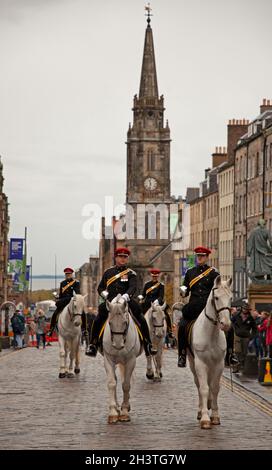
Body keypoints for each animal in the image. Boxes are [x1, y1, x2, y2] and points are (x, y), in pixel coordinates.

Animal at [102, 296, 142, 424]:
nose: (118, 345)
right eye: (109, 322)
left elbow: (126, 385)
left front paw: (124, 411)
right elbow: (111, 383)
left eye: (125, 322)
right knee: (115, 379)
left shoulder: (131, 361)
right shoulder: (108, 360)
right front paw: (113, 412)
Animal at [189, 276, 232, 430]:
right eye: (217, 298)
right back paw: (200, 410)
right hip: (193, 364)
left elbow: (214, 388)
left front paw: (215, 416)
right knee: (198, 384)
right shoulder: (200, 363)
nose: (226, 324)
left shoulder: (219, 364)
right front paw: (205, 418)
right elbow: (203, 388)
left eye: (231, 298)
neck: (211, 333)